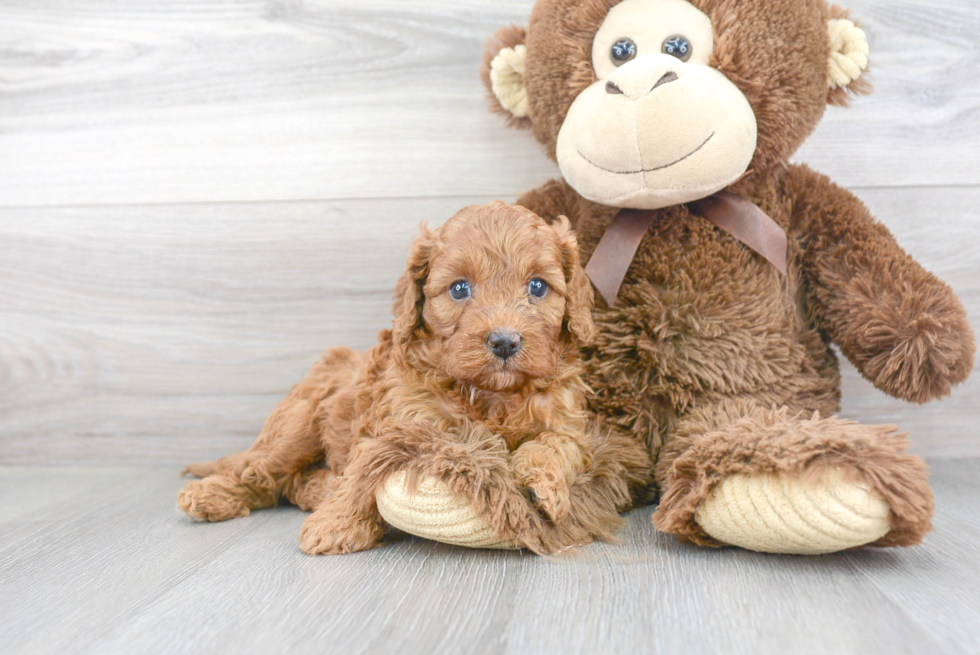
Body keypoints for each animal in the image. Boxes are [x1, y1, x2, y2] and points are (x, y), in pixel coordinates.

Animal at [176, 201, 636, 552]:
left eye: (538, 287)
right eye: (459, 289)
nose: (505, 342)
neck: (492, 396)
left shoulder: (569, 425)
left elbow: (553, 446)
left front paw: (546, 486)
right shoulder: (401, 425)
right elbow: (364, 472)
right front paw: (336, 524)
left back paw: (316, 489)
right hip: (296, 425)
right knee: (260, 472)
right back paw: (213, 494)